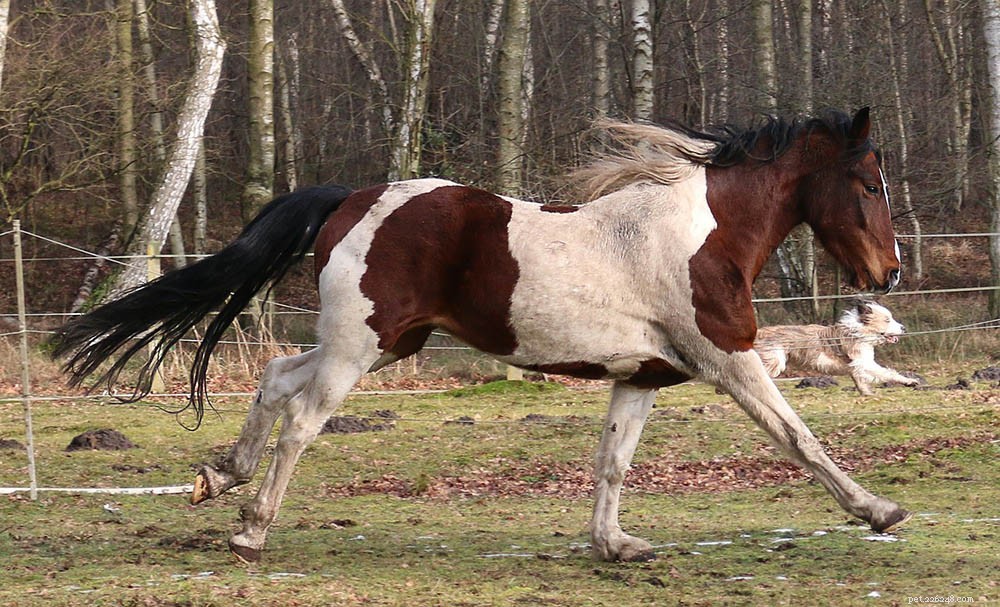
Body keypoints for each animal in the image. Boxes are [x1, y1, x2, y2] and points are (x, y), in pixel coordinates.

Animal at [51, 107, 909, 564]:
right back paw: (250, 531)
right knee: (300, 418)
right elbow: (799, 435)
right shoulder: (727, 359)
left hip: (383, 343)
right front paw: (878, 510)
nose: (890, 272)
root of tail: (350, 197)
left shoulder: (640, 375)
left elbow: (613, 463)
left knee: (275, 375)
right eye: (868, 183)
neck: (704, 235)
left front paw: (615, 544)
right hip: (361, 347)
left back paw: (218, 476)